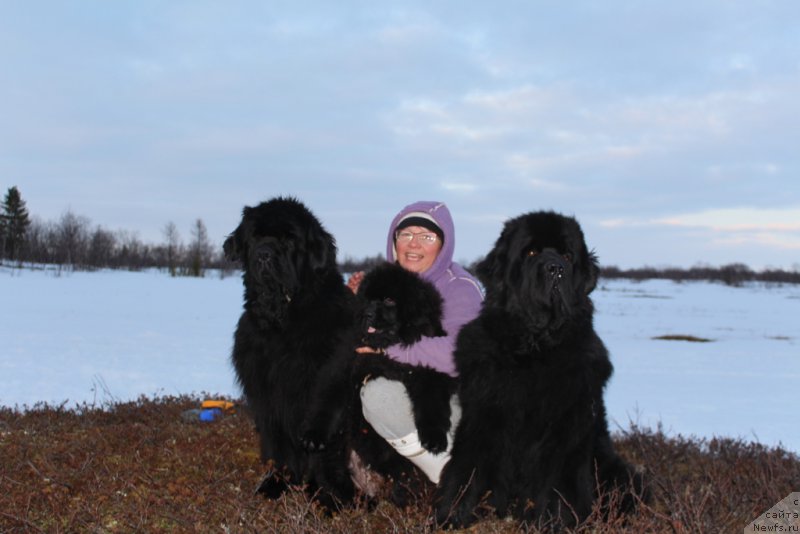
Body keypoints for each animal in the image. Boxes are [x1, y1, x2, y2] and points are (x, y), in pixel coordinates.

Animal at [434, 211, 648, 528]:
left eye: (568, 256)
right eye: (531, 252)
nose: (555, 268)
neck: (534, 348)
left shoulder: (566, 426)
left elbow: (558, 482)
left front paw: (554, 522)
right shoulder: (483, 414)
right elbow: (466, 467)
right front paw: (450, 514)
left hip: (615, 470)